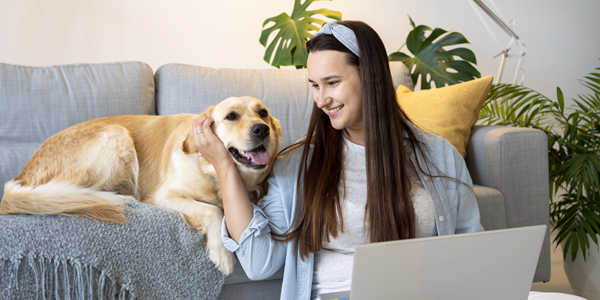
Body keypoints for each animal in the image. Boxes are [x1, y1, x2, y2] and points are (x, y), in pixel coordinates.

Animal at [0, 96, 282, 274]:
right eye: (231, 116)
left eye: (263, 112)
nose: (262, 129)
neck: (214, 172)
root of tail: (23, 174)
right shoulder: (162, 196)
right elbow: (213, 211)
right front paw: (222, 254)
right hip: (116, 135)